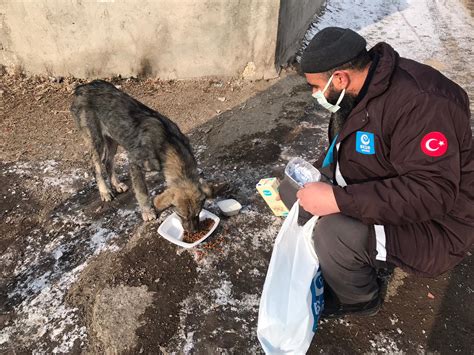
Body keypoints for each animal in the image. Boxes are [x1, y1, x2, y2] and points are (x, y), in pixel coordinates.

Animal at [70, 79, 211, 232]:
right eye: (180, 215)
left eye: (198, 213)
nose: (194, 232)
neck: (169, 143)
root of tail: (82, 87)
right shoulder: (135, 163)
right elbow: (142, 192)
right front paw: (147, 211)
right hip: (96, 141)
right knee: (96, 167)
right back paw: (105, 191)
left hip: (113, 138)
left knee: (108, 161)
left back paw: (116, 184)